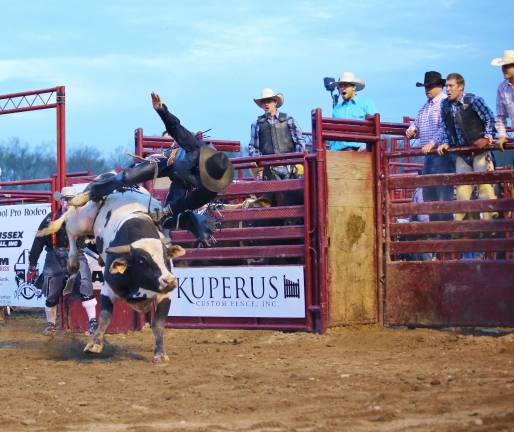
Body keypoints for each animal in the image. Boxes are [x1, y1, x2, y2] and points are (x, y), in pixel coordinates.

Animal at [38, 181, 186, 362]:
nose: (169, 281)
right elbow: (105, 317)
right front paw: (94, 345)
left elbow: (158, 324)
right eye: (142, 260)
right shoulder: (108, 288)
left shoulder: (165, 295)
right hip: (82, 219)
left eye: (166, 257)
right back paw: (72, 262)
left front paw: (160, 353)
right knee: (71, 230)